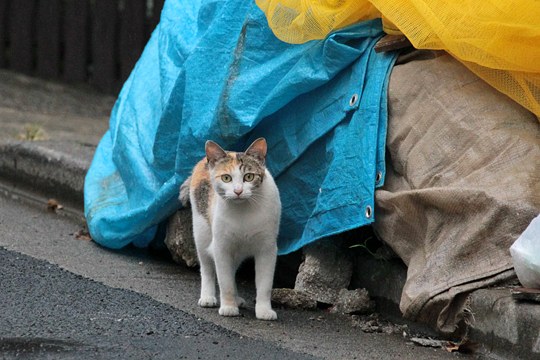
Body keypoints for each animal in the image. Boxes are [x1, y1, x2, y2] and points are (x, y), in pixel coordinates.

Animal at [181, 138, 282, 320]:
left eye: (249, 177)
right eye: (226, 178)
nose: (238, 191)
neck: (244, 211)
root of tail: (204, 161)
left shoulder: (267, 249)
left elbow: (265, 284)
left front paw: (264, 310)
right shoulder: (222, 247)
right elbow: (224, 281)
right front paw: (228, 306)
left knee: (231, 269)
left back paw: (237, 298)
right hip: (202, 232)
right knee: (207, 268)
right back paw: (208, 297)